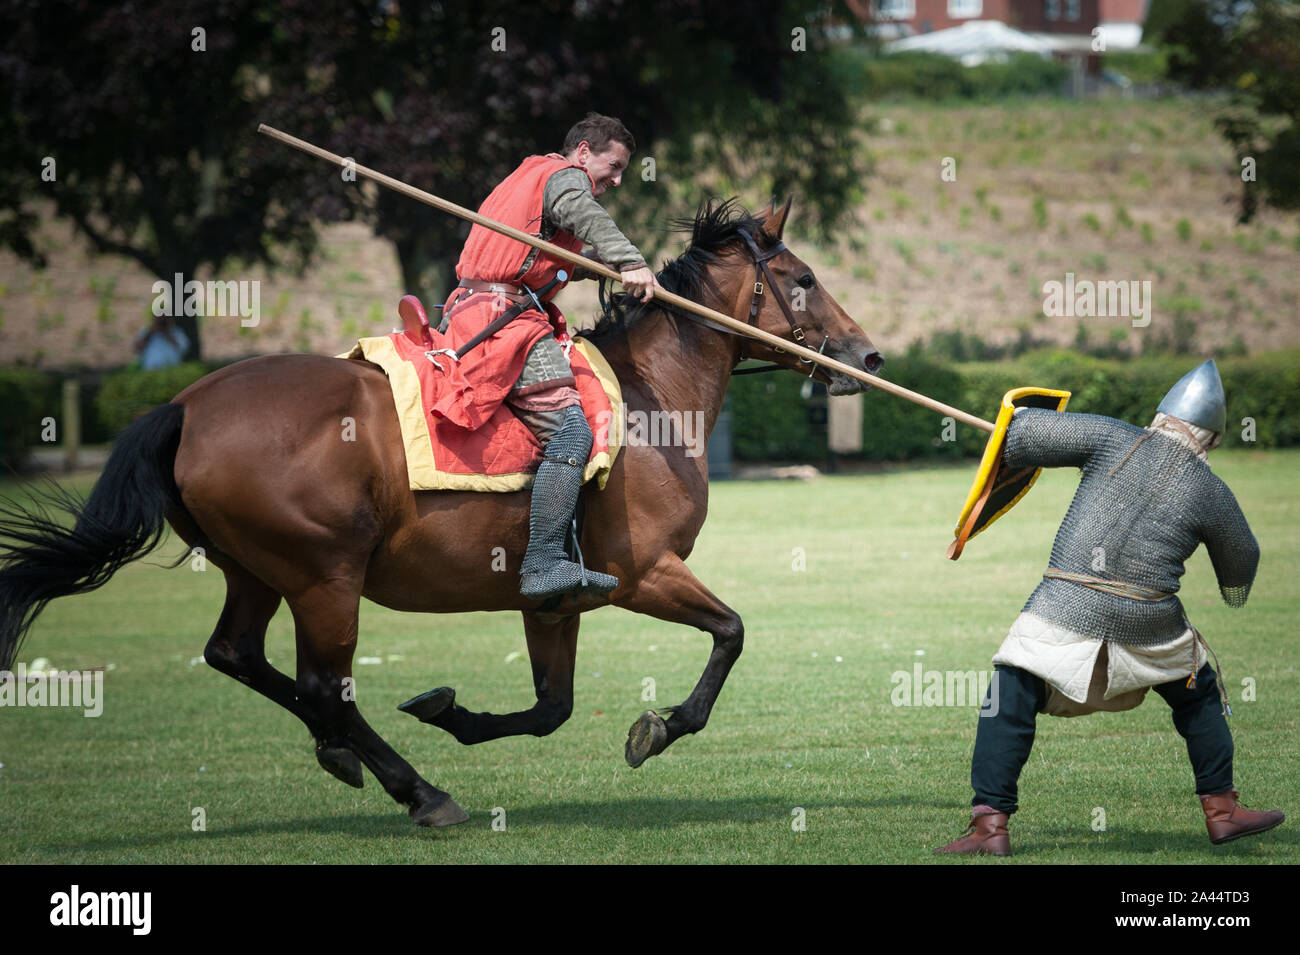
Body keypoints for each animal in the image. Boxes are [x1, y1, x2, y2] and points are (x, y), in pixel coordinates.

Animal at [0, 196, 883, 831]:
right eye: (803, 276)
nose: (868, 354)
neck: (649, 398)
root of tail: (184, 405)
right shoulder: (643, 572)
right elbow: (731, 632)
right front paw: (661, 726)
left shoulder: (554, 599)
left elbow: (552, 707)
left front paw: (452, 712)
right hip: (325, 575)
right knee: (323, 684)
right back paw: (417, 790)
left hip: (255, 568)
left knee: (237, 654)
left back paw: (348, 755)